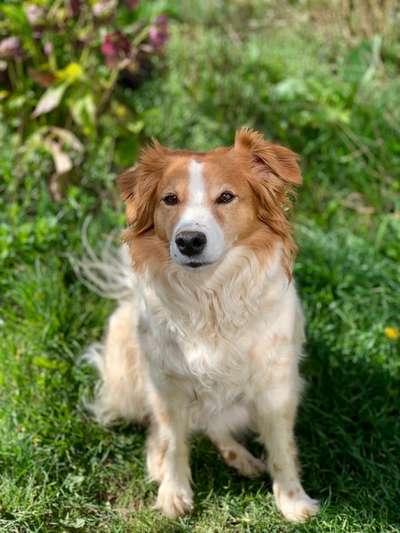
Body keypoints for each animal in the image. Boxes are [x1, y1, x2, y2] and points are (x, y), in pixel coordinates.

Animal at [83, 128, 320, 520]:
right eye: (169, 199)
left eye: (226, 197)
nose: (189, 240)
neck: (209, 297)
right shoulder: (167, 384)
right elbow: (174, 441)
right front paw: (173, 492)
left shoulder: (276, 386)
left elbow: (282, 449)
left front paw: (293, 500)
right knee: (158, 427)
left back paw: (241, 458)